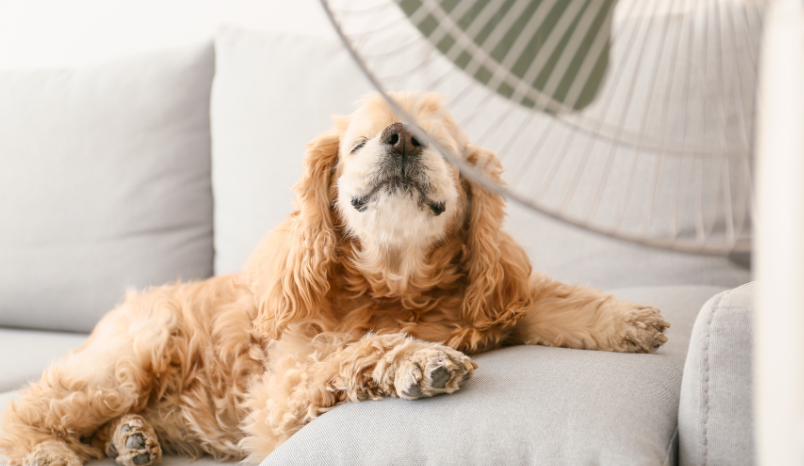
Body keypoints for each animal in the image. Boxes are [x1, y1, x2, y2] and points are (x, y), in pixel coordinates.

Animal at [0, 92, 664, 466]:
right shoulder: (280, 394)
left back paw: (132, 441)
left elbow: (552, 300)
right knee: (27, 409)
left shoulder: (488, 299)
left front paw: (629, 320)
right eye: (360, 142)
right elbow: (355, 352)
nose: (401, 138)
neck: (396, 283)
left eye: (441, 144)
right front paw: (419, 360)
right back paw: (49, 454)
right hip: (129, 356)